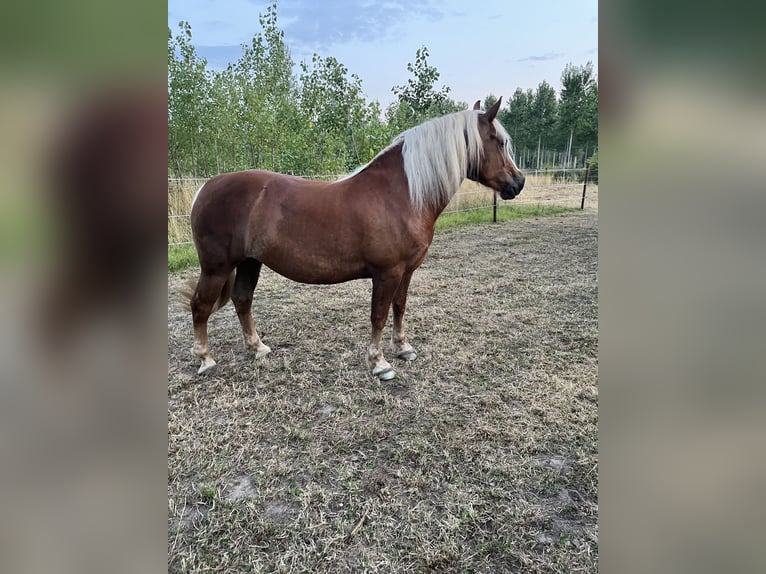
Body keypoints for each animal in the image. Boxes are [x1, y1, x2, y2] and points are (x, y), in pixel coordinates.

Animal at [182, 97, 524, 380]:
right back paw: (206, 360)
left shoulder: (406, 271)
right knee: (200, 305)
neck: (402, 193)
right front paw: (379, 363)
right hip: (217, 267)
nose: (518, 183)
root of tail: (205, 189)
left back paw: (258, 349)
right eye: (498, 141)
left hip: (250, 262)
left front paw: (403, 348)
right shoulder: (386, 273)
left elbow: (399, 307)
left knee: (242, 300)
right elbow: (379, 315)